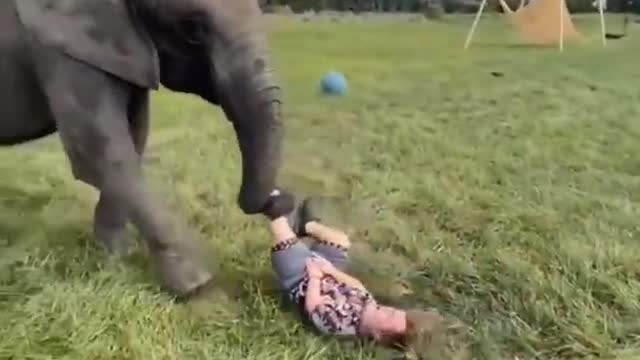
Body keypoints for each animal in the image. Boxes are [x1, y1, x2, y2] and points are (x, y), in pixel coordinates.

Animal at [0, 0, 290, 298]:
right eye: (193, 30)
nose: (278, 200)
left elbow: (134, 138)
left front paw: (116, 259)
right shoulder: (59, 50)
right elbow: (100, 153)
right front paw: (195, 283)